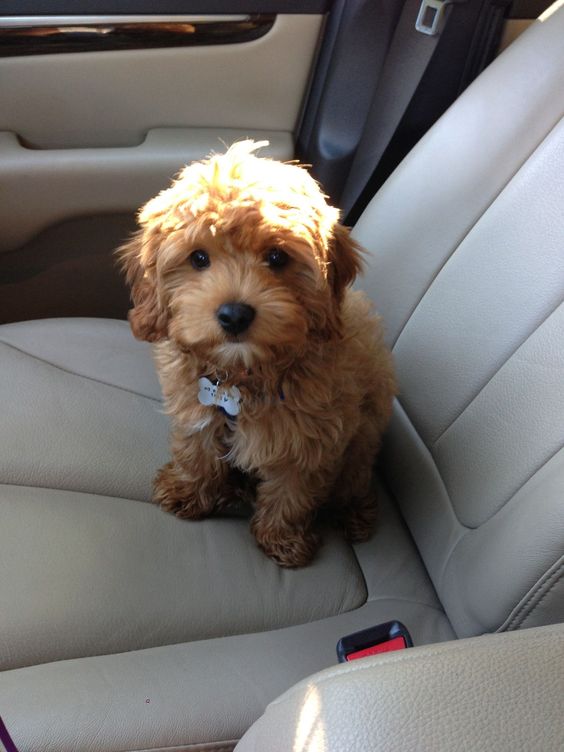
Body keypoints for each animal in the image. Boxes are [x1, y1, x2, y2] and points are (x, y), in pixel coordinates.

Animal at [118, 141, 396, 568]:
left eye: (278, 257)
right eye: (199, 258)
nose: (234, 314)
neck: (241, 375)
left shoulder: (311, 438)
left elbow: (292, 491)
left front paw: (282, 538)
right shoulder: (196, 408)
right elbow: (195, 450)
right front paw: (188, 491)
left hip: (365, 434)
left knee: (355, 479)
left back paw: (355, 514)